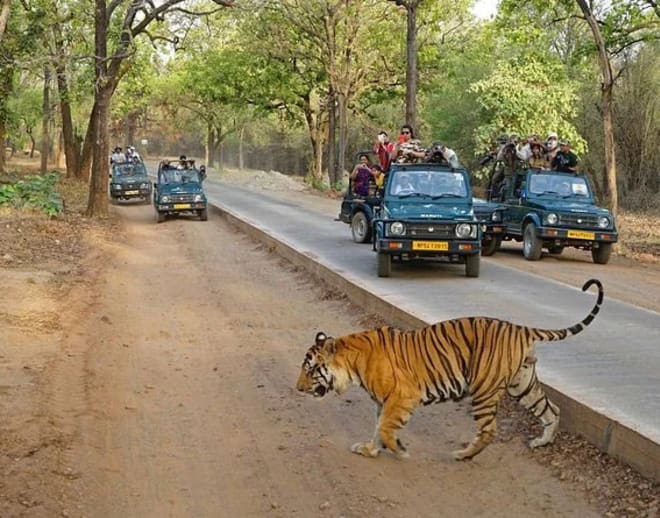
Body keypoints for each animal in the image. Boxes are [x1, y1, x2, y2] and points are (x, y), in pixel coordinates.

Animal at [298, 278, 604, 462]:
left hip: (483, 389)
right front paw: (370, 449)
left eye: (311, 369)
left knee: (490, 429)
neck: (351, 362)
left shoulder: (402, 396)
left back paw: (464, 454)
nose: (298, 388)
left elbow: (385, 427)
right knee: (552, 409)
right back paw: (542, 442)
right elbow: (377, 427)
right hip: (523, 384)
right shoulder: (384, 401)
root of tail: (520, 328)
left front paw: (400, 450)